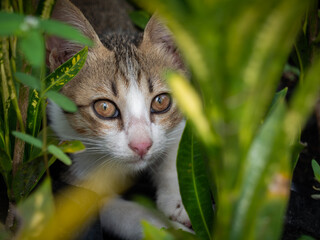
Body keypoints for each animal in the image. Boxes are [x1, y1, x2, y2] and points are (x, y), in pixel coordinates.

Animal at [45, 0, 190, 238]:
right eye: (104, 107)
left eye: (161, 102)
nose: (142, 145)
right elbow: (124, 213)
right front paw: (166, 230)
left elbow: (177, 146)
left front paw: (178, 201)